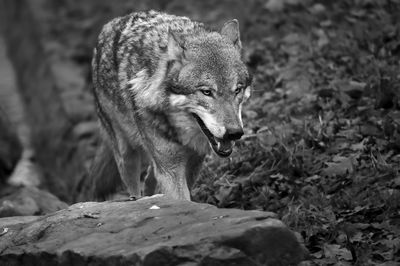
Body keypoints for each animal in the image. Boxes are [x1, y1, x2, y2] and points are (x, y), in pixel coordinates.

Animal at [90, 10, 252, 202]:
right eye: (206, 92)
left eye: (237, 90)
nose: (234, 133)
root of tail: (112, 23)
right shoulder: (171, 170)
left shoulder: (193, 164)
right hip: (126, 153)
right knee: (134, 187)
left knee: (150, 178)